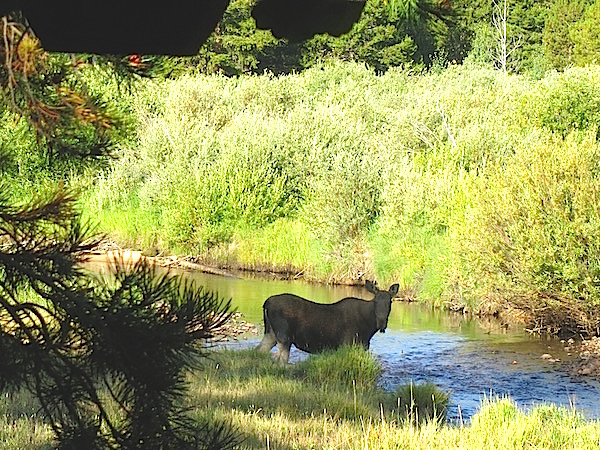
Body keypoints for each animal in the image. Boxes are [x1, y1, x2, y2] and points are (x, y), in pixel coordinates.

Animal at [254, 280, 398, 364]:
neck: (368, 329)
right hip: (284, 337)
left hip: (271, 333)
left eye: (390, 301)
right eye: (375, 301)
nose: (381, 322)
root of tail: (266, 303)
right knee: (280, 361)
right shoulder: (346, 344)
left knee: (258, 351)